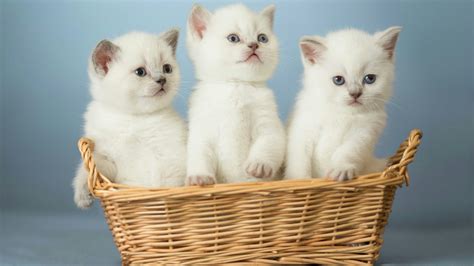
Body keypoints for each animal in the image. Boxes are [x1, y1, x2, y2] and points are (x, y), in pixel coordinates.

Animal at [72, 30, 187, 209]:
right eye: (140, 72)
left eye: (167, 68)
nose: (162, 79)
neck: (133, 119)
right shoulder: (107, 158)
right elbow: (88, 171)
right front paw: (83, 196)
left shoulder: (172, 157)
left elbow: (165, 187)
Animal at [185, 3, 286, 185]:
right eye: (233, 38)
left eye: (262, 38)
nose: (254, 45)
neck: (237, 85)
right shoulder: (202, 130)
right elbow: (199, 153)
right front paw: (199, 176)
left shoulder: (269, 123)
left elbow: (270, 142)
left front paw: (260, 165)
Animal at [286, 26, 400, 181]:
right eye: (338, 80)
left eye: (370, 78)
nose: (355, 93)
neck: (342, 113)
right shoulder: (304, 127)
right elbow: (299, 156)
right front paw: (299, 179)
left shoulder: (366, 132)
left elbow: (349, 150)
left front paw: (341, 169)